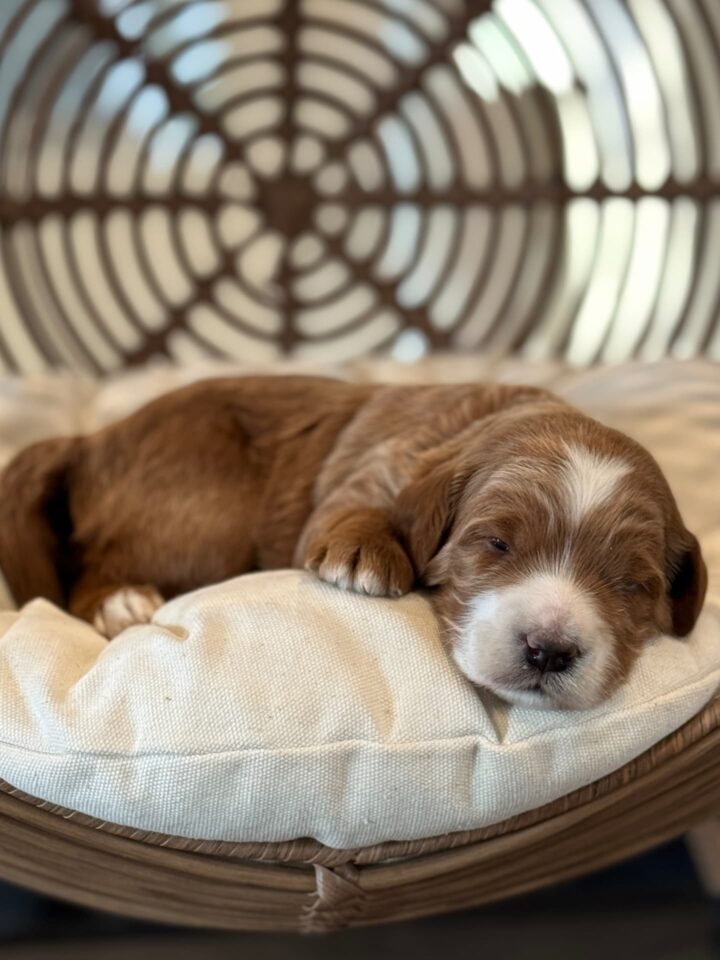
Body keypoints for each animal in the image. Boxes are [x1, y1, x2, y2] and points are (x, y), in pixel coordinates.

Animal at [0, 378, 708, 708]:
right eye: (496, 544)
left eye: (632, 585)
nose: (548, 650)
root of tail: (88, 440)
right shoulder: (372, 467)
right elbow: (349, 512)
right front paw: (364, 554)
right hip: (202, 504)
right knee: (87, 573)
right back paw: (122, 602)